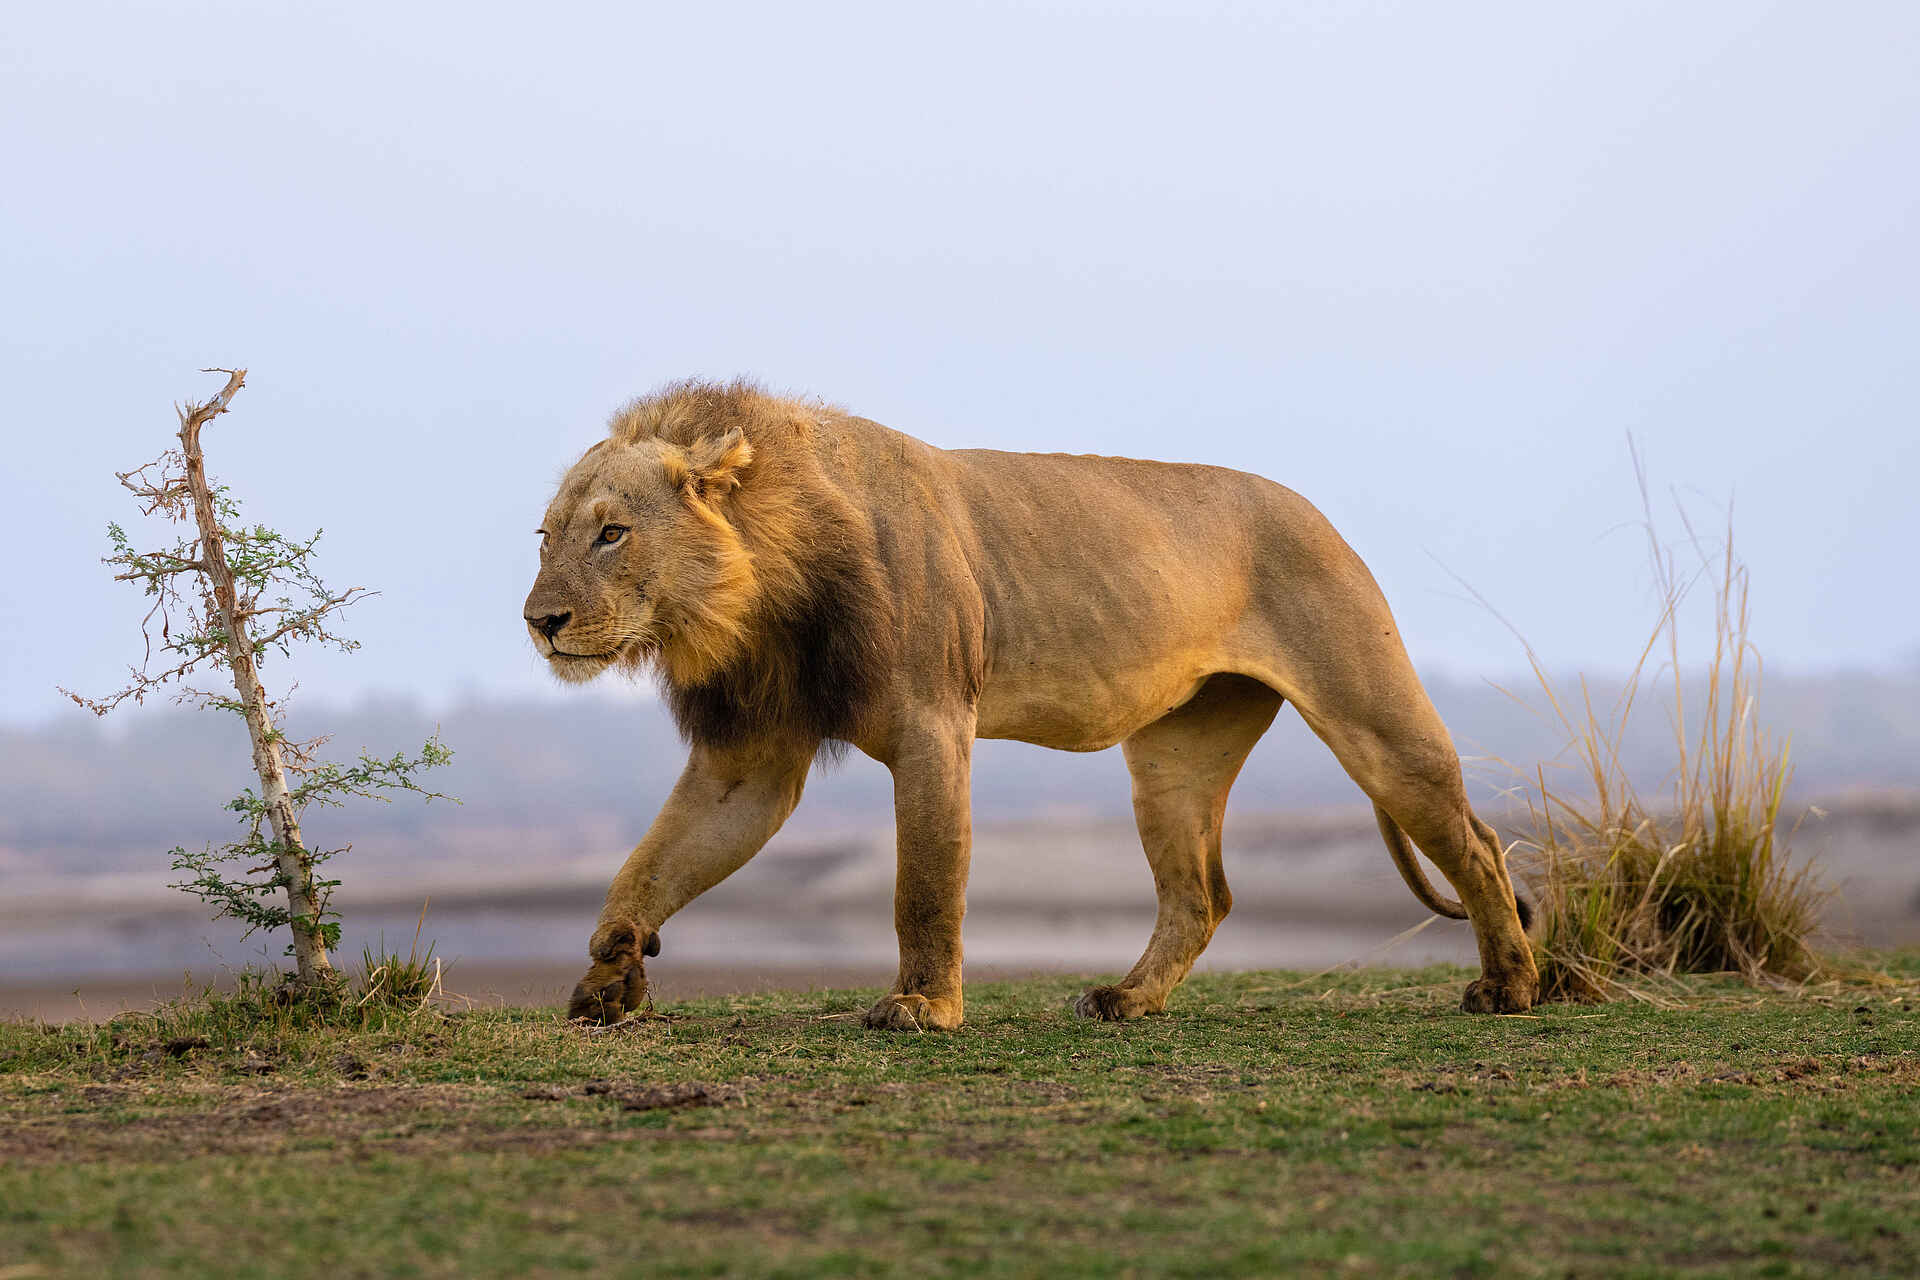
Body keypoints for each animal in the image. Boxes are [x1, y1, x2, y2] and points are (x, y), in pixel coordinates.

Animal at [524, 381, 1538, 1028]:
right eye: (547, 535)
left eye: (613, 534)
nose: (539, 621)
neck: (761, 595)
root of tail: (1316, 512)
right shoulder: (752, 758)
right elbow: (653, 864)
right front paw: (612, 970)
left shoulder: (933, 726)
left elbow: (925, 886)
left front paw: (923, 1007)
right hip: (1174, 757)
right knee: (1201, 895)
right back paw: (1128, 1001)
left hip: (1372, 714)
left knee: (1477, 843)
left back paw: (1514, 989)